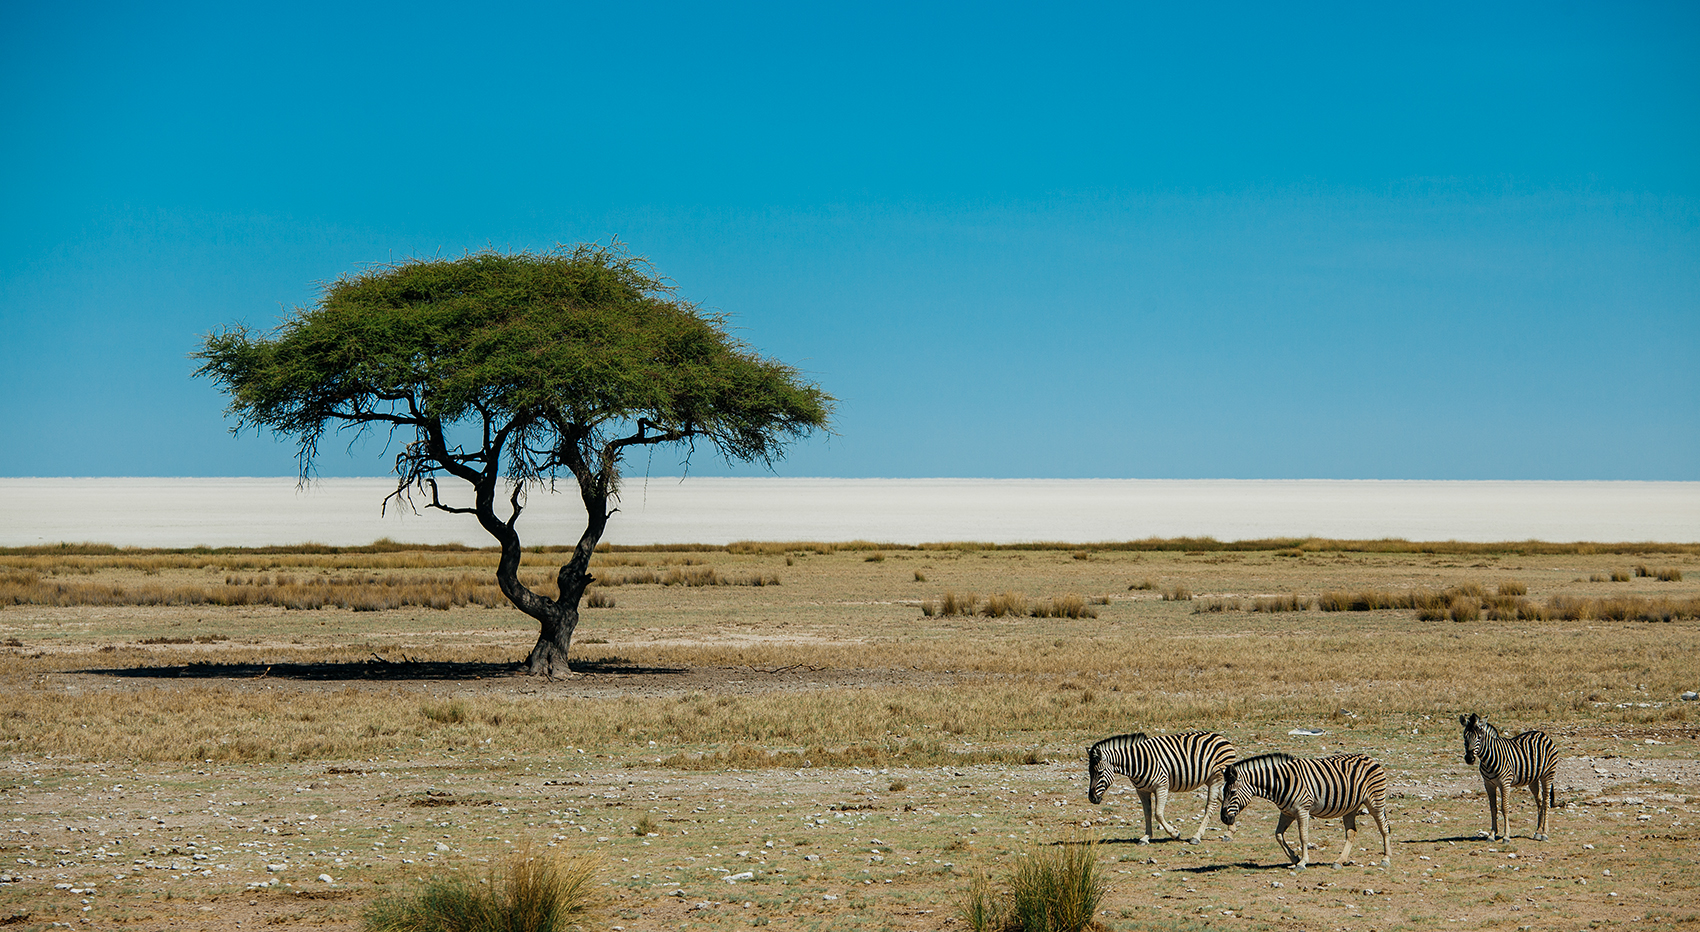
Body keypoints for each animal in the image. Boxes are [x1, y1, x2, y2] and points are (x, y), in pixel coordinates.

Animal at [1087, 731, 1237, 844]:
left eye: (1099, 772)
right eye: (1089, 773)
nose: (1092, 798)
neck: (1136, 763)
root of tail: (1222, 738)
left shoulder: (1162, 786)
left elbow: (1158, 814)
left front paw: (1175, 833)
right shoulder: (1141, 790)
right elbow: (1147, 813)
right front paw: (1146, 837)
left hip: (1216, 778)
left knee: (1210, 806)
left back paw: (1197, 836)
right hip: (1210, 779)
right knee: (1223, 797)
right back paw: (1230, 832)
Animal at [1219, 752, 1391, 869]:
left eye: (1232, 792)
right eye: (1223, 791)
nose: (1224, 818)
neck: (1280, 782)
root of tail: (1369, 757)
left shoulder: (1302, 810)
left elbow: (1303, 837)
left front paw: (1302, 862)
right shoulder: (1286, 812)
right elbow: (1278, 835)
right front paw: (1294, 859)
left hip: (1375, 801)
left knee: (1384, 828)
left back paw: (1386, 859)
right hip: (1351, 807)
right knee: (1351, 833)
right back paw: (1339, 861)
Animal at [1459, 713, 1557, 841]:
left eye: (1479, 737)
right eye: (1465, 737)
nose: (1469, 758)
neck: (1488, 759)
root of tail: (1542, 734)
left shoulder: (1505, 783)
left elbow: (1504, 808)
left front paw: (1506, 836)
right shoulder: (1488, 784)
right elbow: (1493, 808)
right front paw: (1492, 834)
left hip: (1548, 774)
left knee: (1546, 801)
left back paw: (1545, 834)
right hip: (1533, 779)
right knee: (1539, 800)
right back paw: (1538, 832)